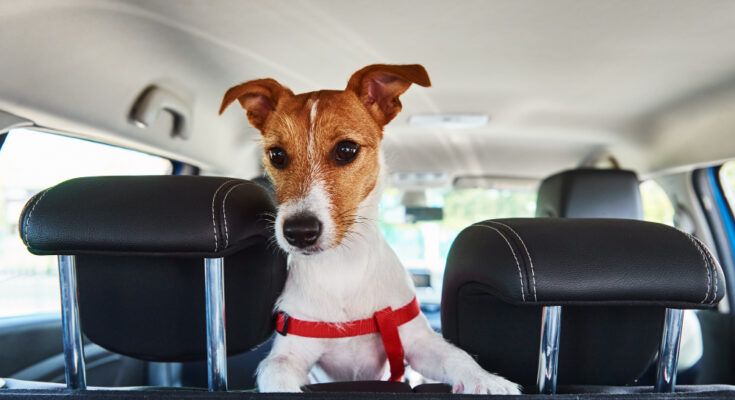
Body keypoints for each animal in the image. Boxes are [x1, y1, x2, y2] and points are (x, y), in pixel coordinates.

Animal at [217, 63, 516, 394]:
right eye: (276, 155)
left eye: (346, 149)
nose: (299, 232)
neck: (342, 269)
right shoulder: (288, 354)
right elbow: (275, 372)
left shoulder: (418, 343)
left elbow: (457, 356)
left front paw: (486, 380)